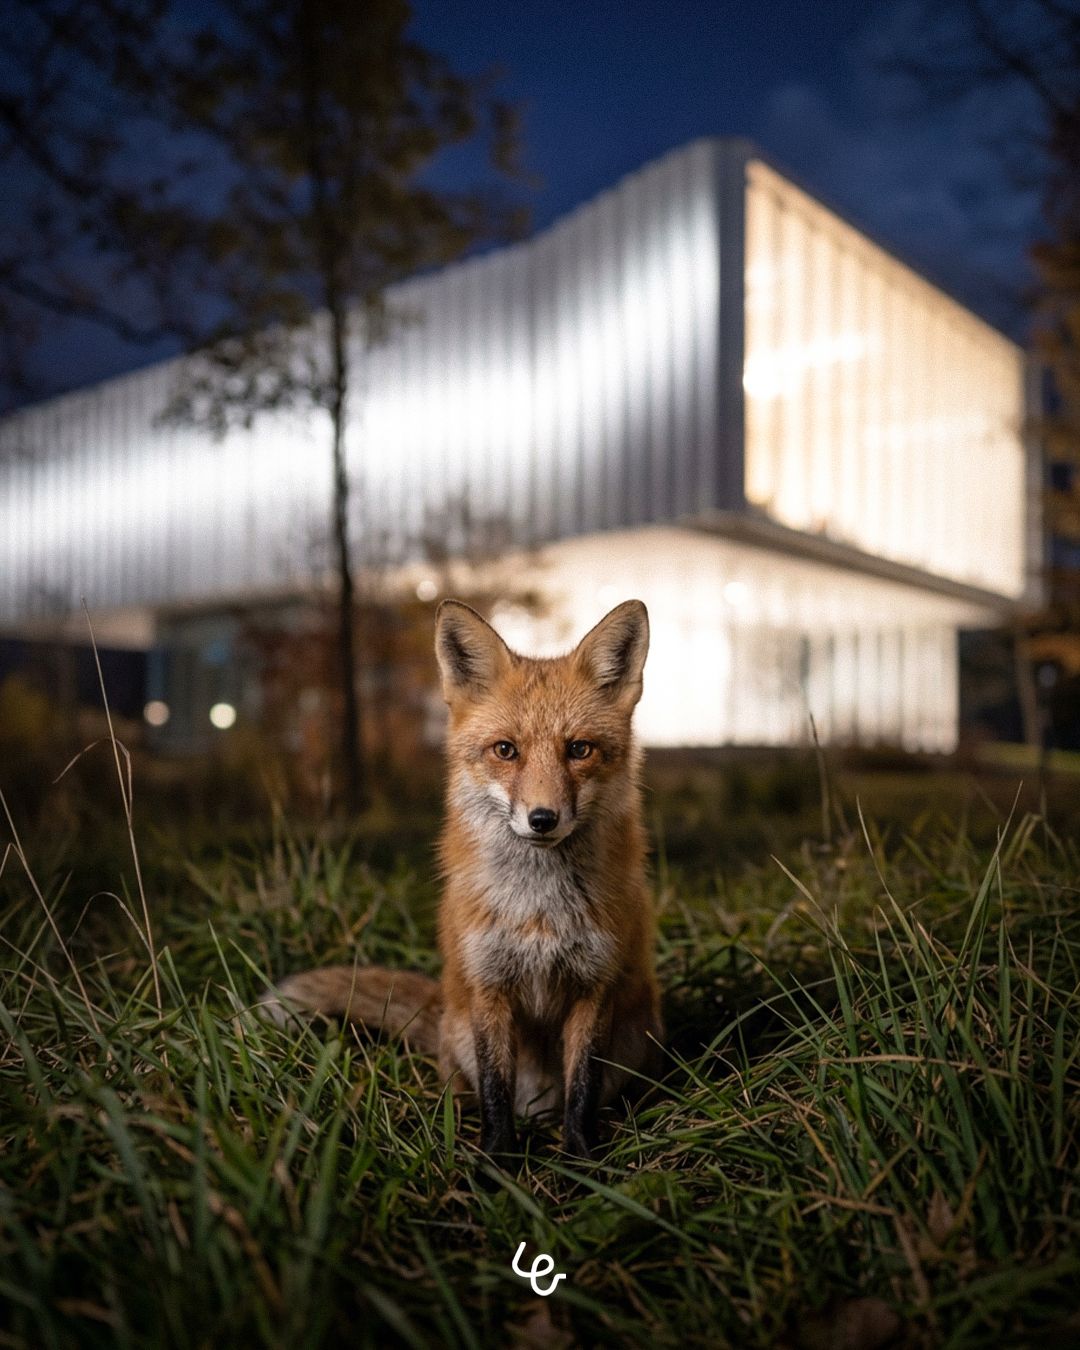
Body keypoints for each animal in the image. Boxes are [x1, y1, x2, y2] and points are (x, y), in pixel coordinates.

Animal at [262, 598, 662, 1163]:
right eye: (506, 750)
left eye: (580, 750)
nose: (543, 819)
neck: (537, 910)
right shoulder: (487, 986)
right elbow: (495, 1091)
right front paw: (495, 1163)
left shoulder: (594, 986)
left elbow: (582, 1091)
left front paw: (582, 1160)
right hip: (460, 1029)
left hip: (636, 1036)